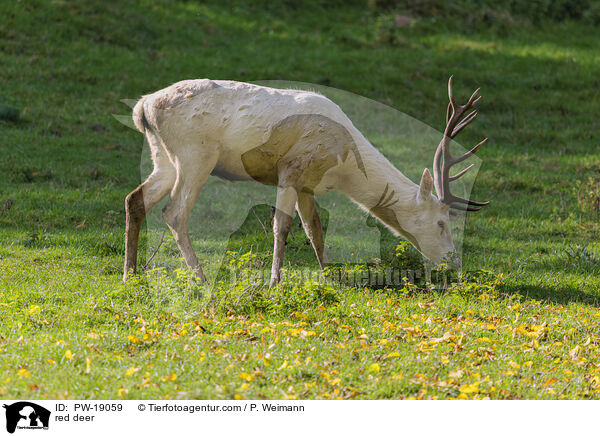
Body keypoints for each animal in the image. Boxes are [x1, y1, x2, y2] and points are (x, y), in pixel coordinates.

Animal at [123, 76, 488, 286]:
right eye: (442, 222)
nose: (454, 261)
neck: (343, 165)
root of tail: (143, 108)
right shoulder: (291, 169)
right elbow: (281, 226)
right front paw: (274, 282)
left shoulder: (307, 185)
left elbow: (315, 229)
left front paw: (330, 275)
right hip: (195, 154)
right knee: (174, 213)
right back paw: (199, 278)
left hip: (163, 157)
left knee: (135, 198)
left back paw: (130, 273)